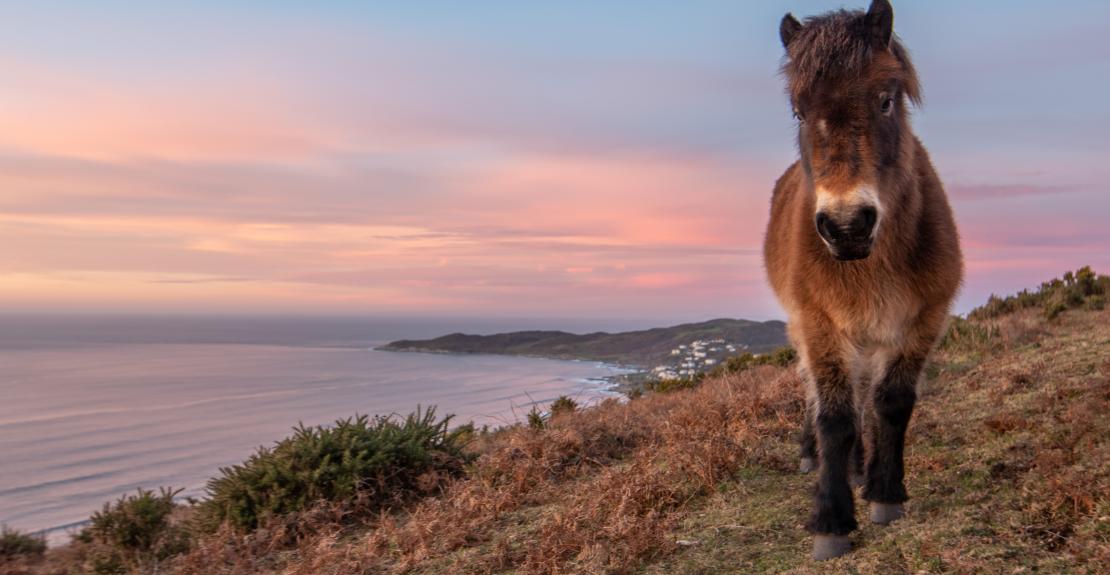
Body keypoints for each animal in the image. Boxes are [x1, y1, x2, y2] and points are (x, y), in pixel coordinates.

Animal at [763, 0, 963, 561]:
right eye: (799, 111)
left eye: (886, 99)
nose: (847, 225)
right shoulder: (818, 324)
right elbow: (835, 416)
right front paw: (831, 520)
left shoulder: (922, 319)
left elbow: (890, 403)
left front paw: (884, 493)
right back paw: (817, 457)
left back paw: (860, 469)